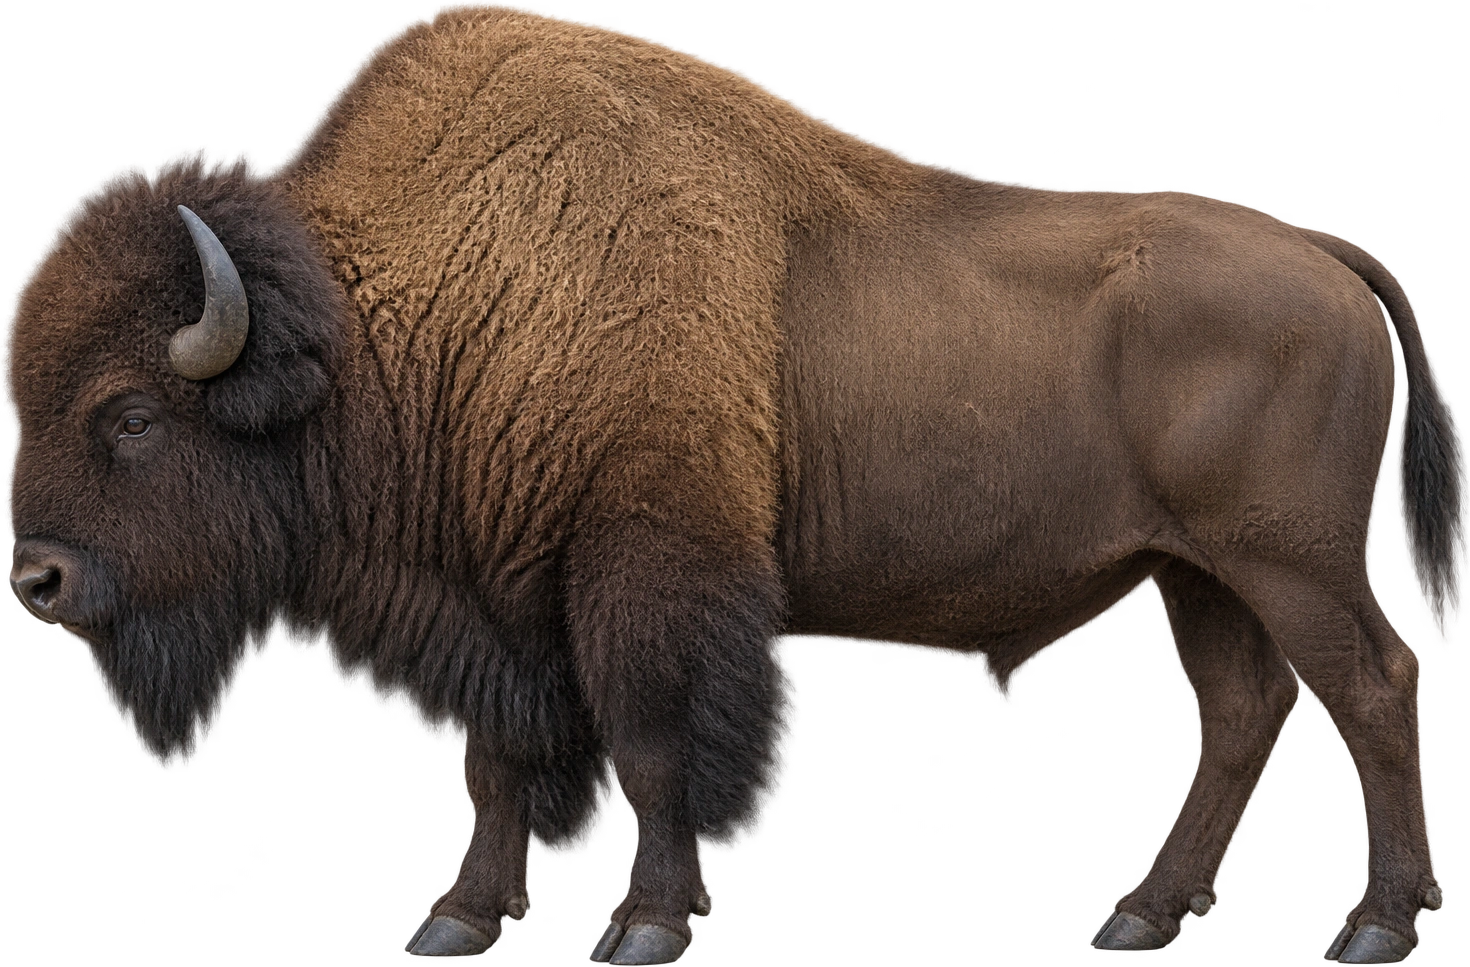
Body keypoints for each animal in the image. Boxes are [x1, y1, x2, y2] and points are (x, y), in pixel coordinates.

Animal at [7, 10, 1455, 965]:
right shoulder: (499, 600)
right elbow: (491, 758)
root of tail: (1324, 253)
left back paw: (1374, 924)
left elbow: (654, 739)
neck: (428, 310)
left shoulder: (646, 565)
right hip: (1194, 572)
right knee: (1238, 714)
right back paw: (1135, 913)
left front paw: (642, 921)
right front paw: (455, 918)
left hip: (1287, 562)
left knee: (1371, 693)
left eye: (130, 413)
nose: (36, 574)